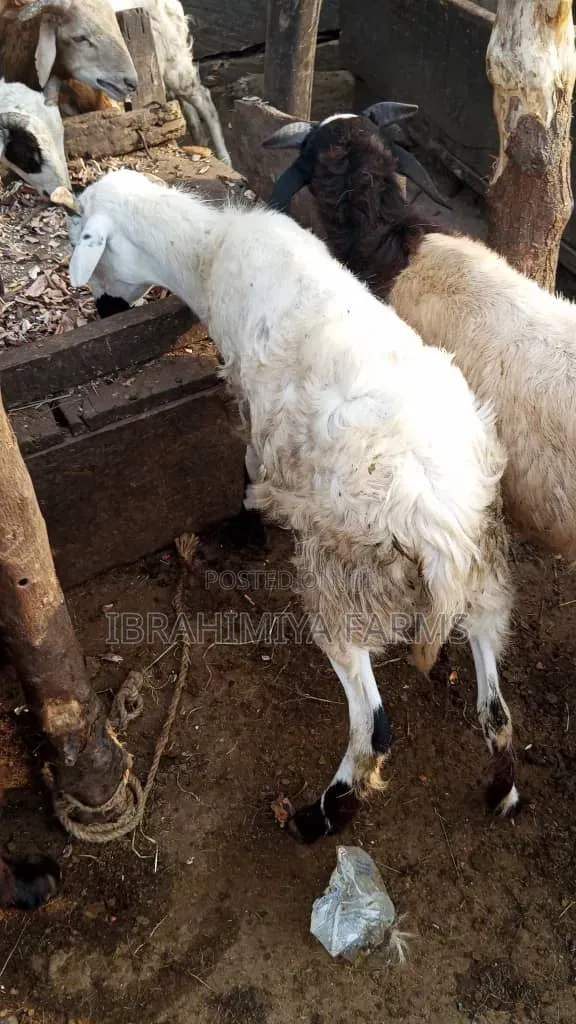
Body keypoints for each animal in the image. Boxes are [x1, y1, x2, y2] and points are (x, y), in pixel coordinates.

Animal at [52, 168, 517, 841]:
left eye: (83, 237)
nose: (98, 310)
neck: (208, 249)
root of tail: (443, 536)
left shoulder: (247, 392)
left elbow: (246, 461)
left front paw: (246, 520)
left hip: (345, 583)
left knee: (374, 727)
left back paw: (320, 815)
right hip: (486, 570)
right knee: (496, 707)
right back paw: (502, 790)